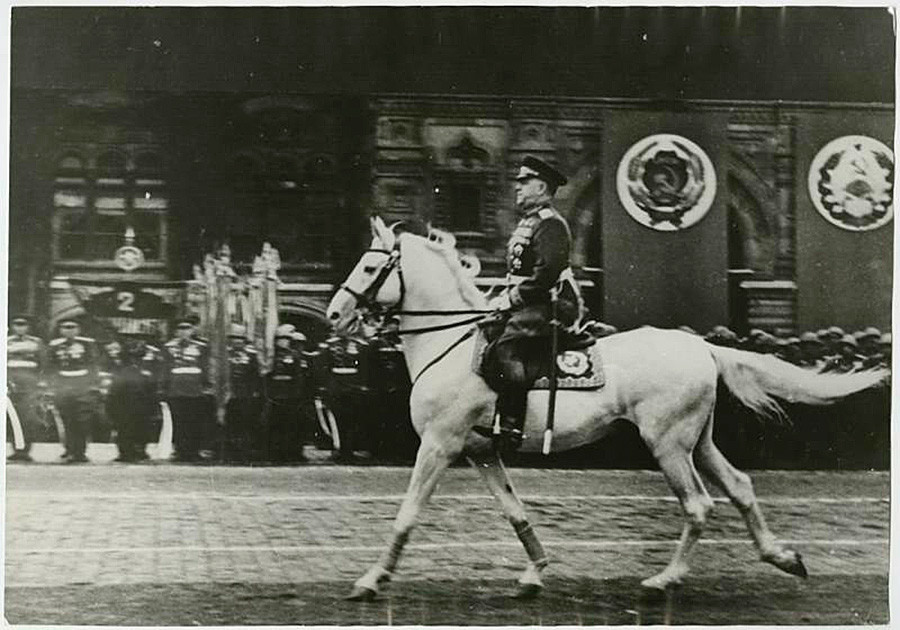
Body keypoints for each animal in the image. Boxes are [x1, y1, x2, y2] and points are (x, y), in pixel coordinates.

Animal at [326, 217, 884, 604]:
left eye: (371, 267)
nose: (334, 314)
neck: (451, 345)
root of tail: (702, 346)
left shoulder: (440, 445)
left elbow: (407, 514)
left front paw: (371, 580)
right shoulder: (481, 452)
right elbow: (514, 511)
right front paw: (535, 571)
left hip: (668, 443)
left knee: (698, 506)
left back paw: (665, 580)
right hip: (697, 441)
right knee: (740, 486)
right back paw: (782, 556)